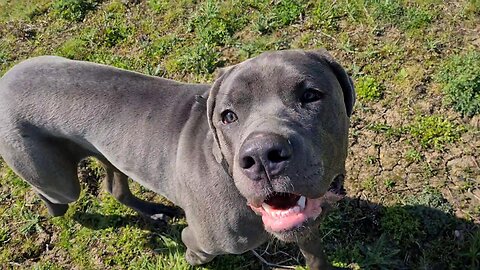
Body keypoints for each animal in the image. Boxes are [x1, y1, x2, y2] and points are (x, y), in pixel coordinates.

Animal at [0, 49, 352, 268]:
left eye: (310, 95)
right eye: (227, 116)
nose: (262, 156)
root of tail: (5, 78)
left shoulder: (306, 222)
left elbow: (314, 253)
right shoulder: (200, 241)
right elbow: (193, 251)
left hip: (107, 153)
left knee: (115, 187)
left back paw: (154, 212)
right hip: (58, 181)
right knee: (55, 196)